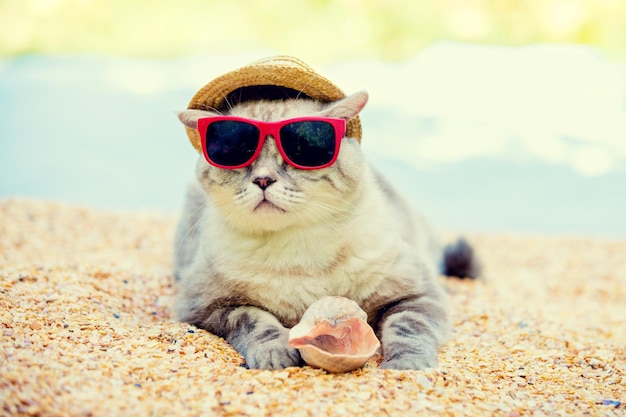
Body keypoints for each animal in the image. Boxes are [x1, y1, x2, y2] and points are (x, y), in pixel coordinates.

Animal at [172, 89, 478, 368]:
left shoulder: (418, 294)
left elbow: (407, 330)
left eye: (302, 151)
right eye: (234, 152)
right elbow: (254, 320)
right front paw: (277, 355)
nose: (263, 180)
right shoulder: (204, 305)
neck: (298, 250)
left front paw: (406, 369)